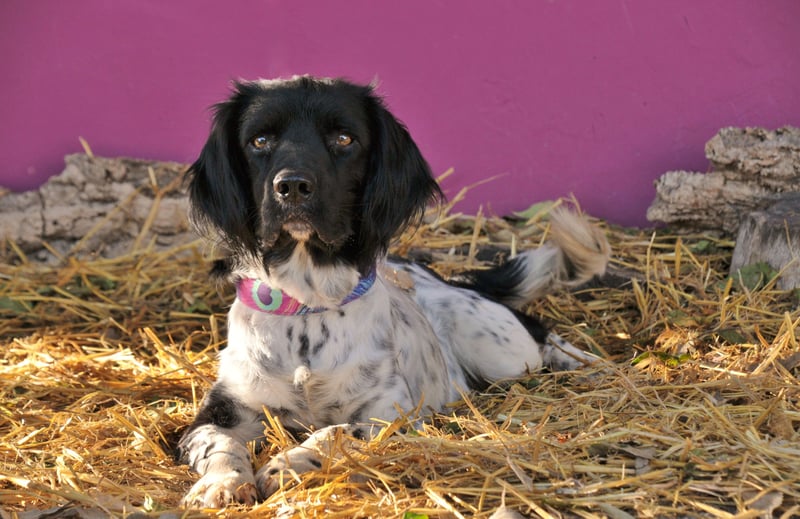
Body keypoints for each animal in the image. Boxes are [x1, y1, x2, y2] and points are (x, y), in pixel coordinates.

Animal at [177, 76, 610, 507]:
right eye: (260, 140)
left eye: (344, 138)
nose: (293, 186)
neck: (307, 308)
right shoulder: (223, 409)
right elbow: (218, 443)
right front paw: (221, 483)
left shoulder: (389, 410)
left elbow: (334, 433)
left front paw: (286, 463)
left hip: (497, 345)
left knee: (543, 335)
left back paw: (590, 365)